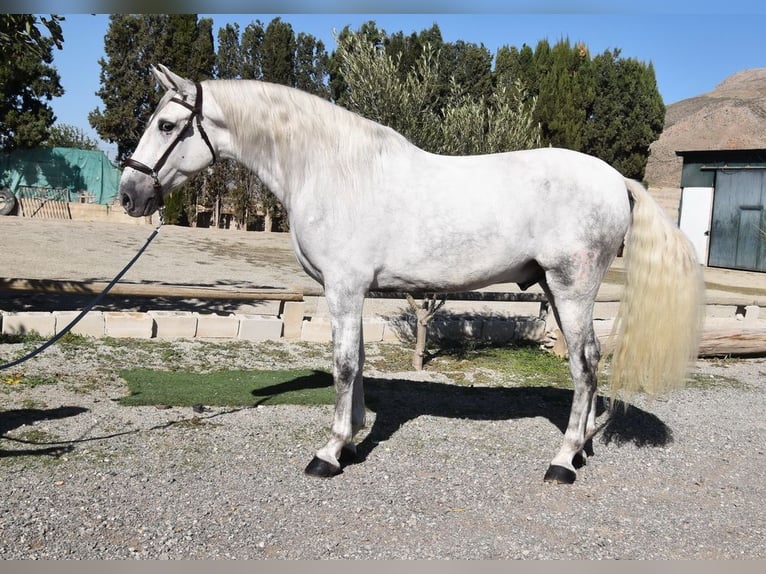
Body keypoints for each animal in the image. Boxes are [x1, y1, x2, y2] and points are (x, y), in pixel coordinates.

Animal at [119, 64, 703, 484]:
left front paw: (329, 452)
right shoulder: (352, 292)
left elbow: (344, 365)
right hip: (556, 292)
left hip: (572, 288)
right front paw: (352, 441)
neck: (332, 168)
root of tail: (615, 179)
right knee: (591, 363)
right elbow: (356, 364)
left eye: (166, 125)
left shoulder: (345, 287)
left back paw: (562, 462)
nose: (130, 195)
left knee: (583, 366)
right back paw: (580, 449)